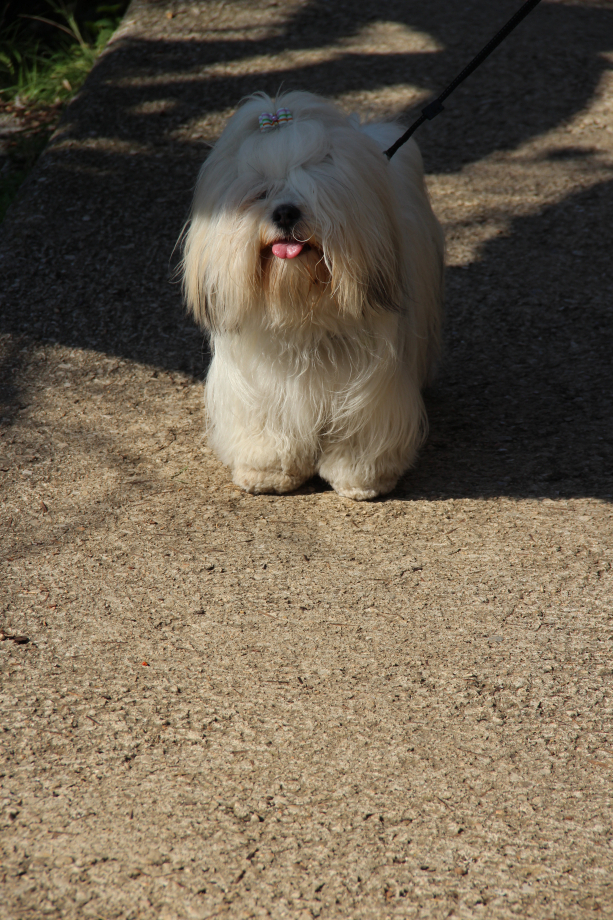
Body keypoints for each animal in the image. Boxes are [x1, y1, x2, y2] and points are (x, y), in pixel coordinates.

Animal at [180, 90, 440, 500]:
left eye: (314, 189)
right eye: (261, 193)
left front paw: (361, 476)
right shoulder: (258, 381)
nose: (286, 212)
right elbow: (267, 423)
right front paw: (267, 469)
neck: (303, 312)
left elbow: (361, 427)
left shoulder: (370, 384)